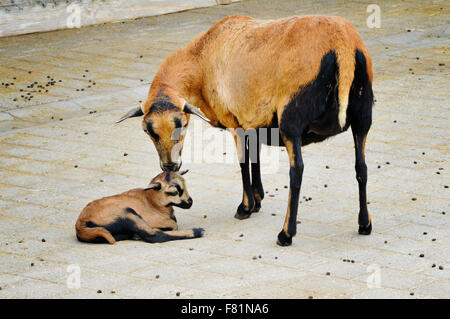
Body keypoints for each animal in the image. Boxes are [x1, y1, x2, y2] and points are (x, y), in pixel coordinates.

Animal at [76, 170, 206, 245]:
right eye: (174, 192)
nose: (190, 202)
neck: (152, 203)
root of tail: (81, 225)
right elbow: (173, 225)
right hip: (127, 213)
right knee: (153, 236)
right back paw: (197, 231)